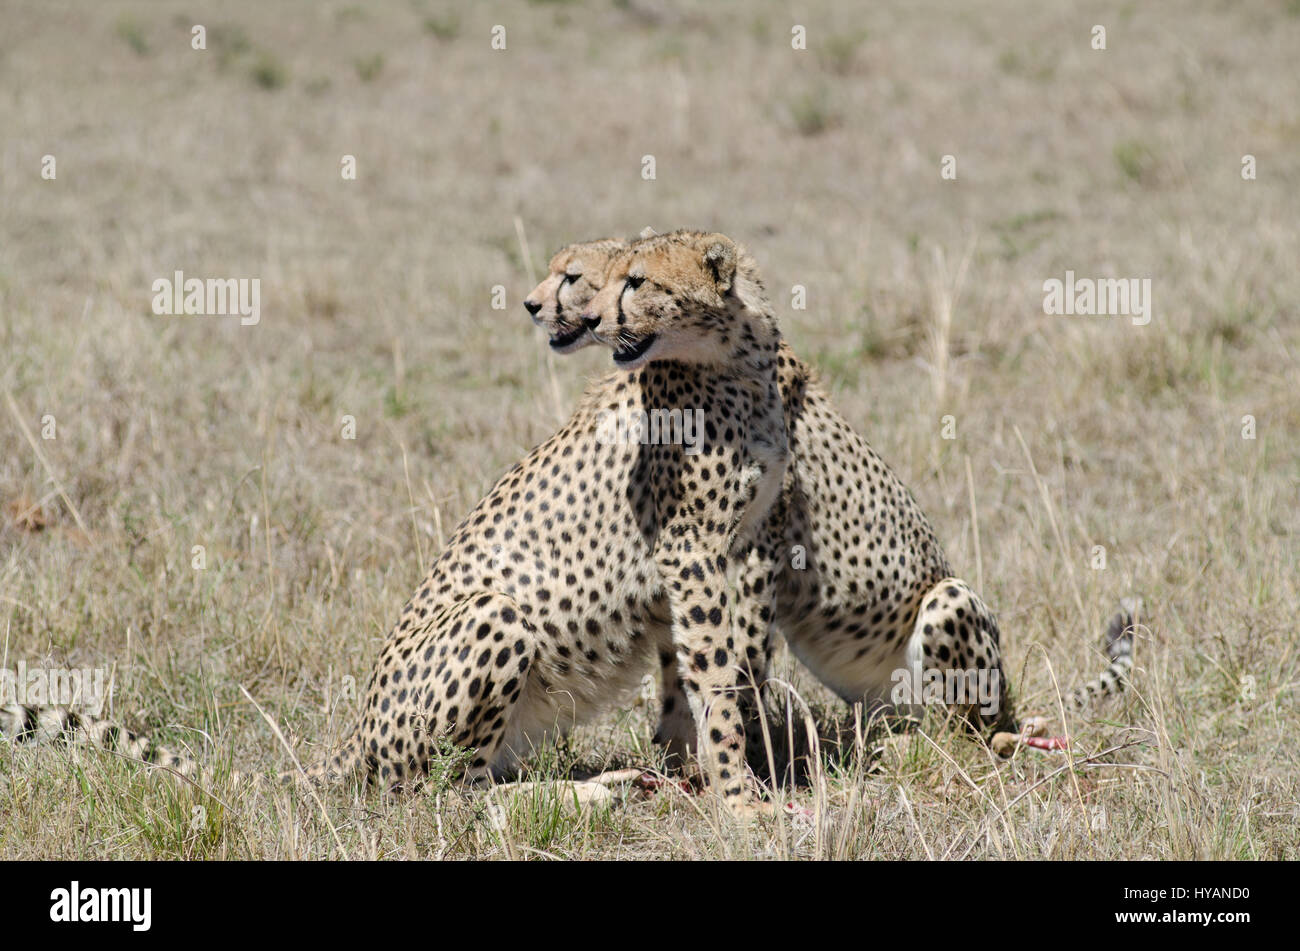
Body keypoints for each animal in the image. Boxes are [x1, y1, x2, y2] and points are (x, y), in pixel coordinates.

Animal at [522, 229, 1144, 758]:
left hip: (950, 606)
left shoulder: (766, 536)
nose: (532, 305)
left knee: (970, 733)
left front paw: (747, 741)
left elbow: (745, 653)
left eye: (579, 277)